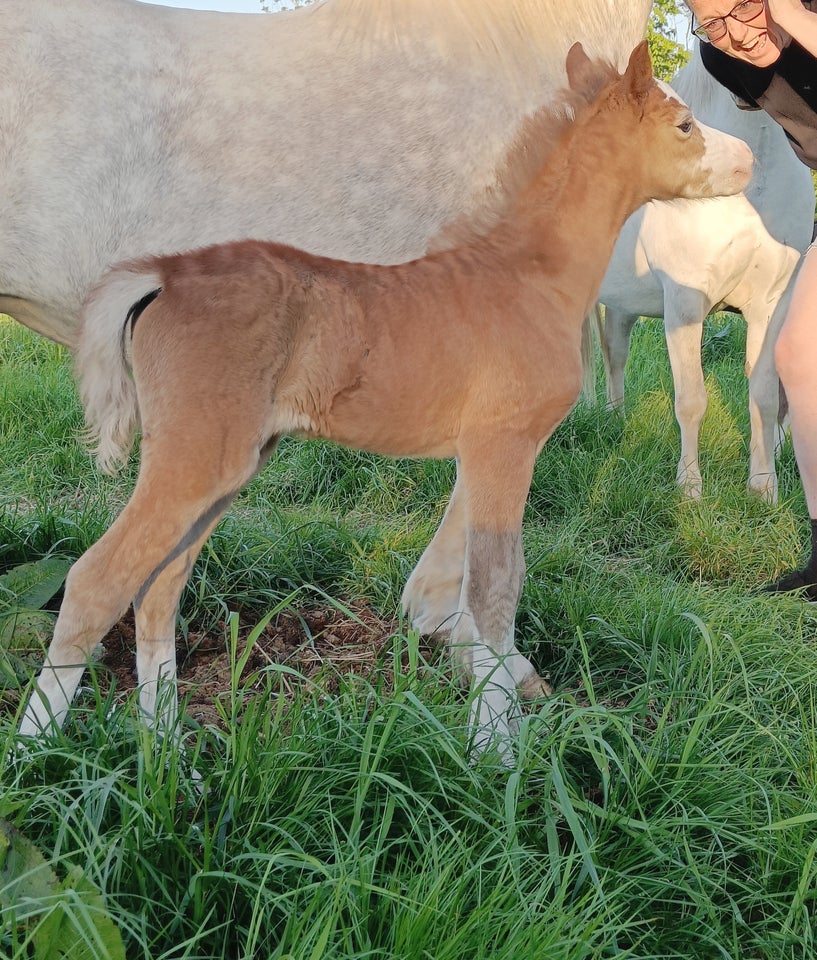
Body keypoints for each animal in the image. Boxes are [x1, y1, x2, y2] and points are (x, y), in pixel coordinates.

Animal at [22, 43, 752, 756]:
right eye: (683, 125)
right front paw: (496, 752)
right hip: (195, 462)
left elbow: (459, 580)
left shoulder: (481, 451)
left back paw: (169, 752)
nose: (745, 160)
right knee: (96, 582)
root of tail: (165, 277)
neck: (529, 276)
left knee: (157, 589)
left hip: (227, 468)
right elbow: (494, 587)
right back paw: (37, 752)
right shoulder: (505, 444)